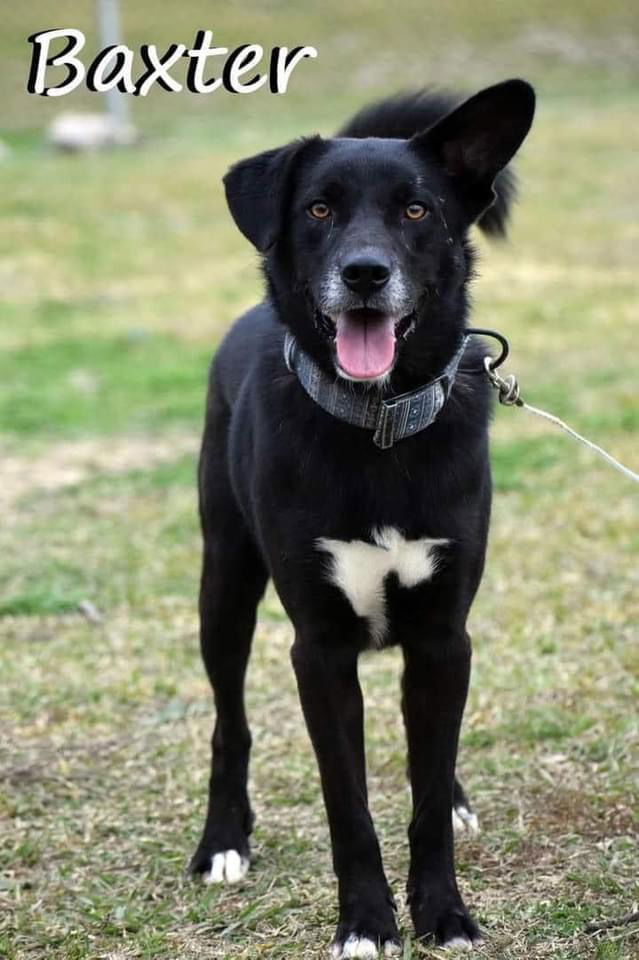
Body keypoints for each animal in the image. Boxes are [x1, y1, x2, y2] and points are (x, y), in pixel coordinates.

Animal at [190, 79, 536, 956]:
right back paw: (222, 843)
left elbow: (423, 798)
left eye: (416, 209)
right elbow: (348, 805)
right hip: (225, 582)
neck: (376, 426)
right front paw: (366, 924)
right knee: (228, 722)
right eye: (318, 209)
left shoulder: (445, 635)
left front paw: (443, 913)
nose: (364, 274)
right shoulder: (317, 650)